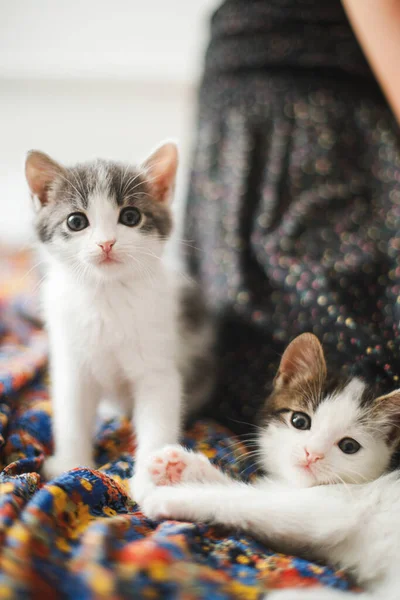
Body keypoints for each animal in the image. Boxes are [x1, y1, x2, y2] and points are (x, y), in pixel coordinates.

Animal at [24, 142, 216, 502]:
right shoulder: (71, 362)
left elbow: (157, 417)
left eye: (130, 216)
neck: (106, 294)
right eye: (76, 221)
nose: (106, 243)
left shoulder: (159, 367)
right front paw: (71, 462)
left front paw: (152, 477)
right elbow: (71, 412)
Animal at [142, 332, 400, 600]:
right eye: (299, 421)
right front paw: (179, 466)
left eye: (349, 446)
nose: (312, 454)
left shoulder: (336, 507)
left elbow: (248, 500)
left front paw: (172, 496)